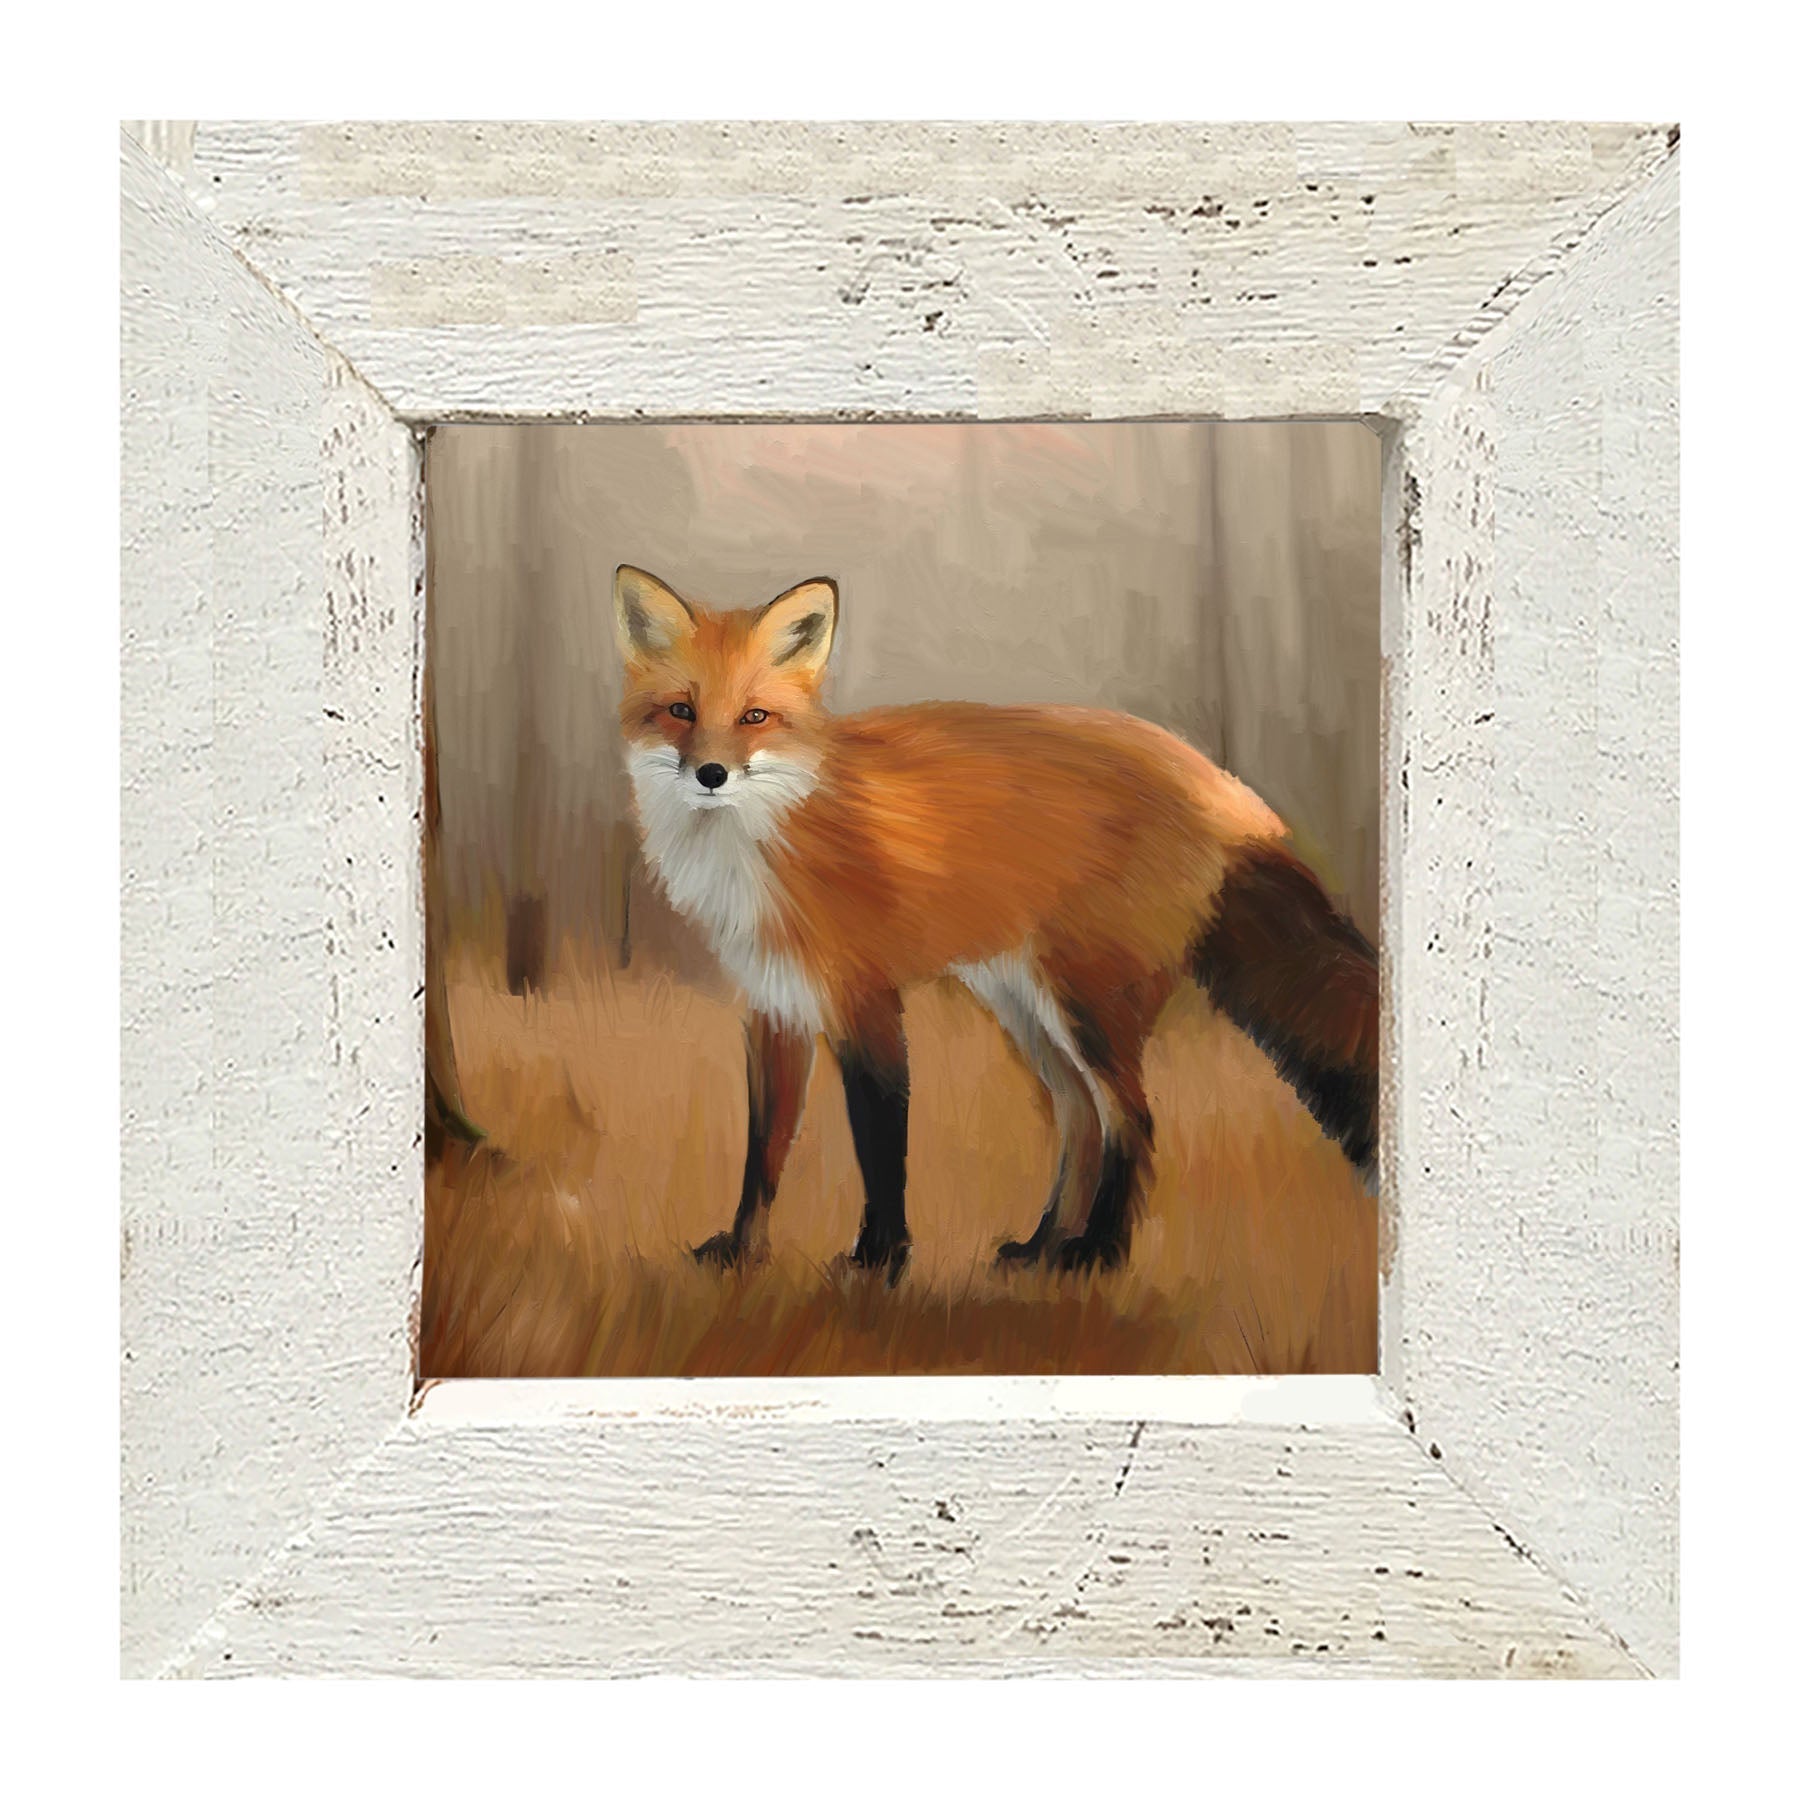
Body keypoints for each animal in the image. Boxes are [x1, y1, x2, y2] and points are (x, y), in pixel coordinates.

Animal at [613, 564, 1378, 1282]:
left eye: (754, 717)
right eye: (680, 710)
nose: (711, 774)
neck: (767, 840)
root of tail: (1224, 787)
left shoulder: (867, 1002)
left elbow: (880, 1144)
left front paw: (880, 1261)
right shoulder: (776, 1007)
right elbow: (763, 1151)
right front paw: (743, 1252)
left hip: (1086, 1004)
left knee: (1134, 1119)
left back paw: (1099, 1253)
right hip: (1027, 1006)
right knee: (1080, 1118)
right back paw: (1044, 1247)